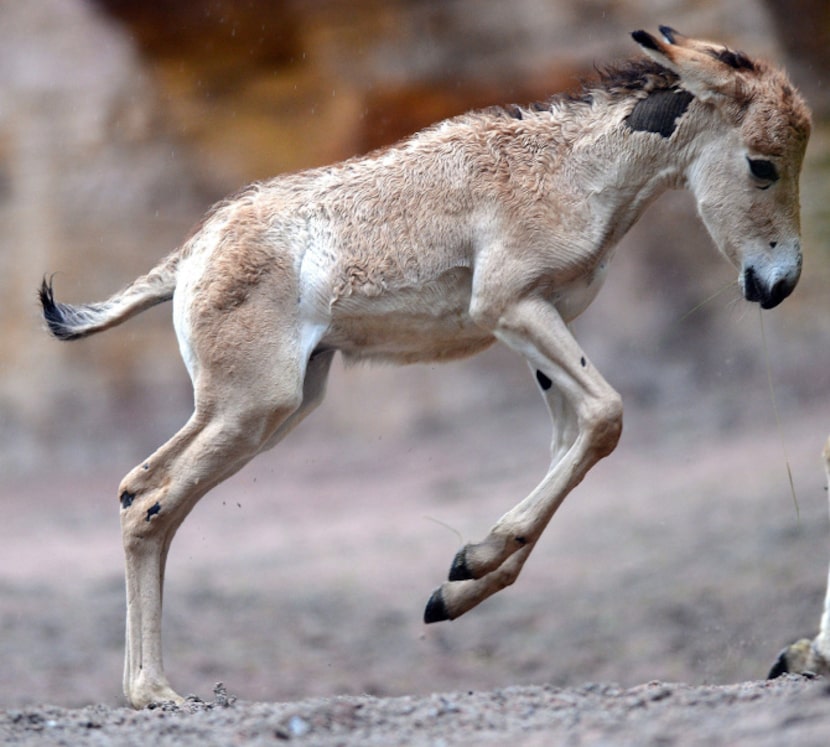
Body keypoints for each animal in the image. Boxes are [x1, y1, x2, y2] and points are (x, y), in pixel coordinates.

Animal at [40, 29, 812, 708]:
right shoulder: (510, 307)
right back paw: (155, 693)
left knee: (142, 492)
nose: (779, 283)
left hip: (271, 406)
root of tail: (191, 255)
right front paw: (473, 560)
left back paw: (151, 689)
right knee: (149, 502)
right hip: (250, 404)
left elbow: (572, 440)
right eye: (762, 163)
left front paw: (459, 585)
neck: (573, 168)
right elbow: (606, 417)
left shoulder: (545, 325)